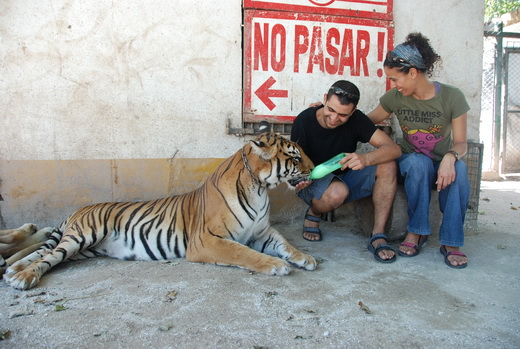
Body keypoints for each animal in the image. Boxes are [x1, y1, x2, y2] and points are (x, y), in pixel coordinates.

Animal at [3, 128, 316, 288]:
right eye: (295, 157)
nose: (314, 168)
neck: (260, 188)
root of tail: (78, 210)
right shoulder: (206, 240)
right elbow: (244, 253)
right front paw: (276, 265)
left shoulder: (262, 232)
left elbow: (285, 243)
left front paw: (304, 258)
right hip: (82, 236)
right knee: (47, 257)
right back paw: (22, 278)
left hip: (82, 248)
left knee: (45, 252)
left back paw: (12, 270)